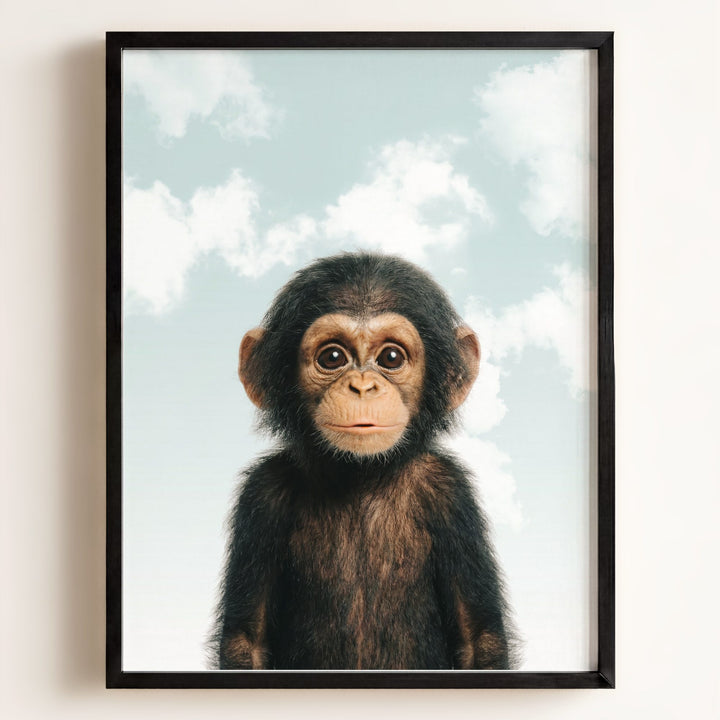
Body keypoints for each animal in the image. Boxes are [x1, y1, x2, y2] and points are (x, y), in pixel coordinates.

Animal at [212, 252, 518, 670]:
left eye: (391, 357)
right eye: (332, 357)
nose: (362, 386)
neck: (361, 476)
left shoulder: (451, 492)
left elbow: (479, 639)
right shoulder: (262, 494)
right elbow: (247, 640)